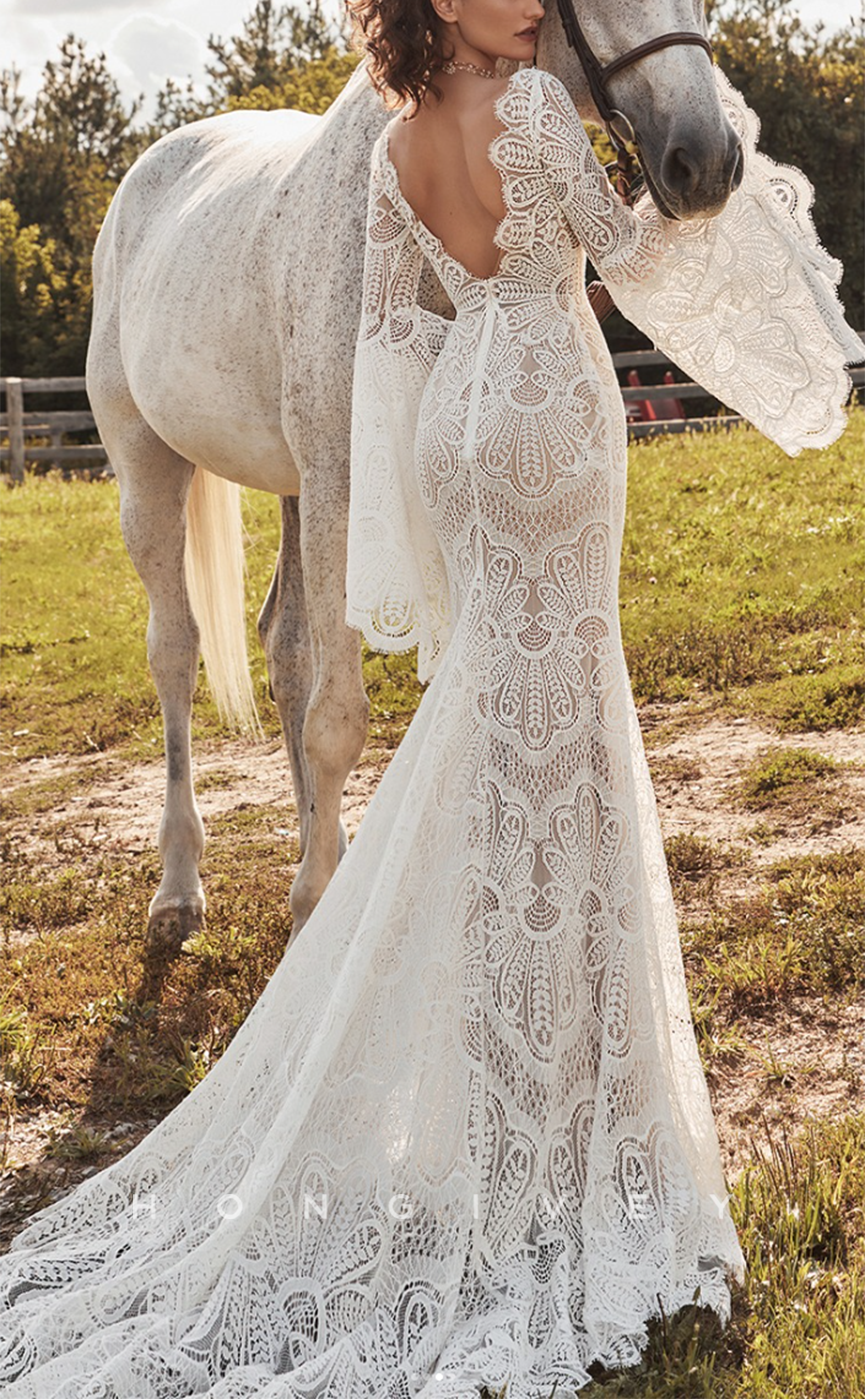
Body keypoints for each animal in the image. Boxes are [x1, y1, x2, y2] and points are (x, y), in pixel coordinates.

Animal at [85, 0, 733, 951]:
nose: (707, 162)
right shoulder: (340, 484)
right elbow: (339, 720)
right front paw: (319, 905)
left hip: (292, 494)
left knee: (284, 646)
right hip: (150, 470)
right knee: (175, 652)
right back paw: (179, 887)